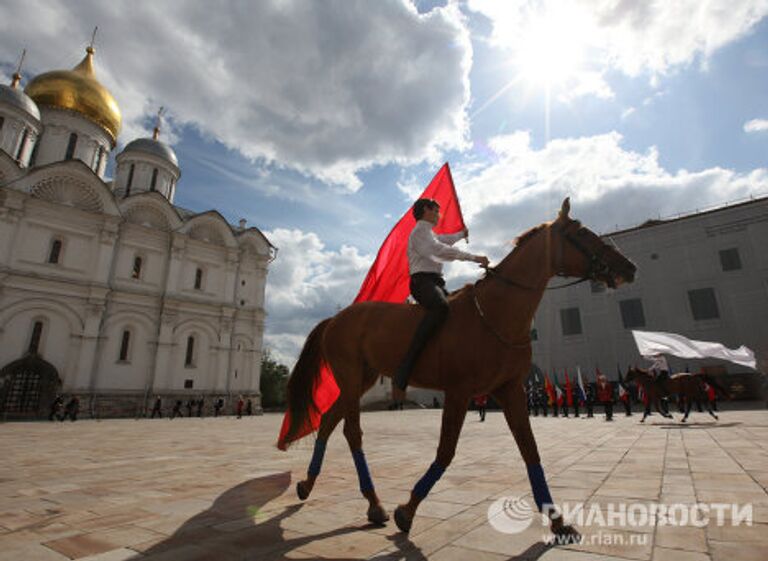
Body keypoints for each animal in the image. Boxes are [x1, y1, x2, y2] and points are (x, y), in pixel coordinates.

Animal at [282, 199, 636, 536]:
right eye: (581, 233)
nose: (629, 267)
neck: (495, 313)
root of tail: (335, 318)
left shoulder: (510, 390)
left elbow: (530, 450)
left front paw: (557, 519)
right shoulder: (459, 392)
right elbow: (446, 451)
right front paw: (407, 510)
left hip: (361, 380)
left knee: (328, 421)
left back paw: (308, 485)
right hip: (352, 379)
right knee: (351, 432)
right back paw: (374, 503)